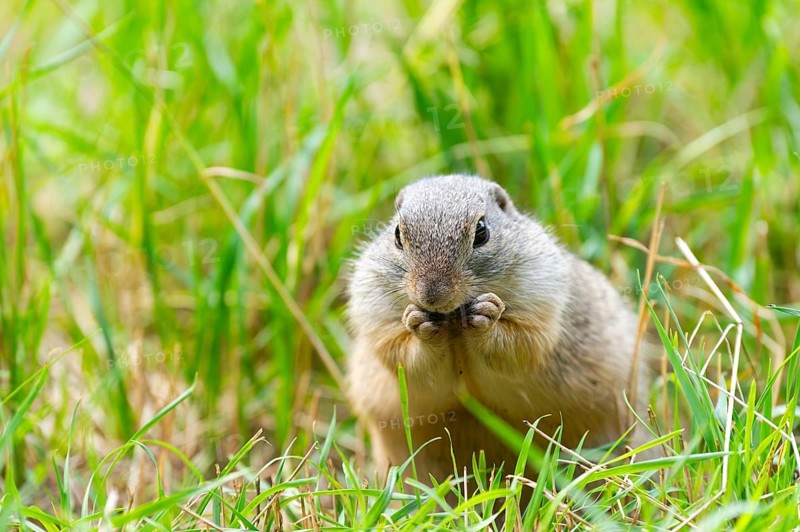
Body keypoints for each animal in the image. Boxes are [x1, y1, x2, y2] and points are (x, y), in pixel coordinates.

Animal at [346, 174, 651, 482]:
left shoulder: (542, 303)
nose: (432, 296)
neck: (454, 328)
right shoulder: (377, 319)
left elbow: (521, 347)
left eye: (481, 231)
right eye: (397, 234)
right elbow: (405, 358)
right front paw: (419, 324)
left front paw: (486, 315)